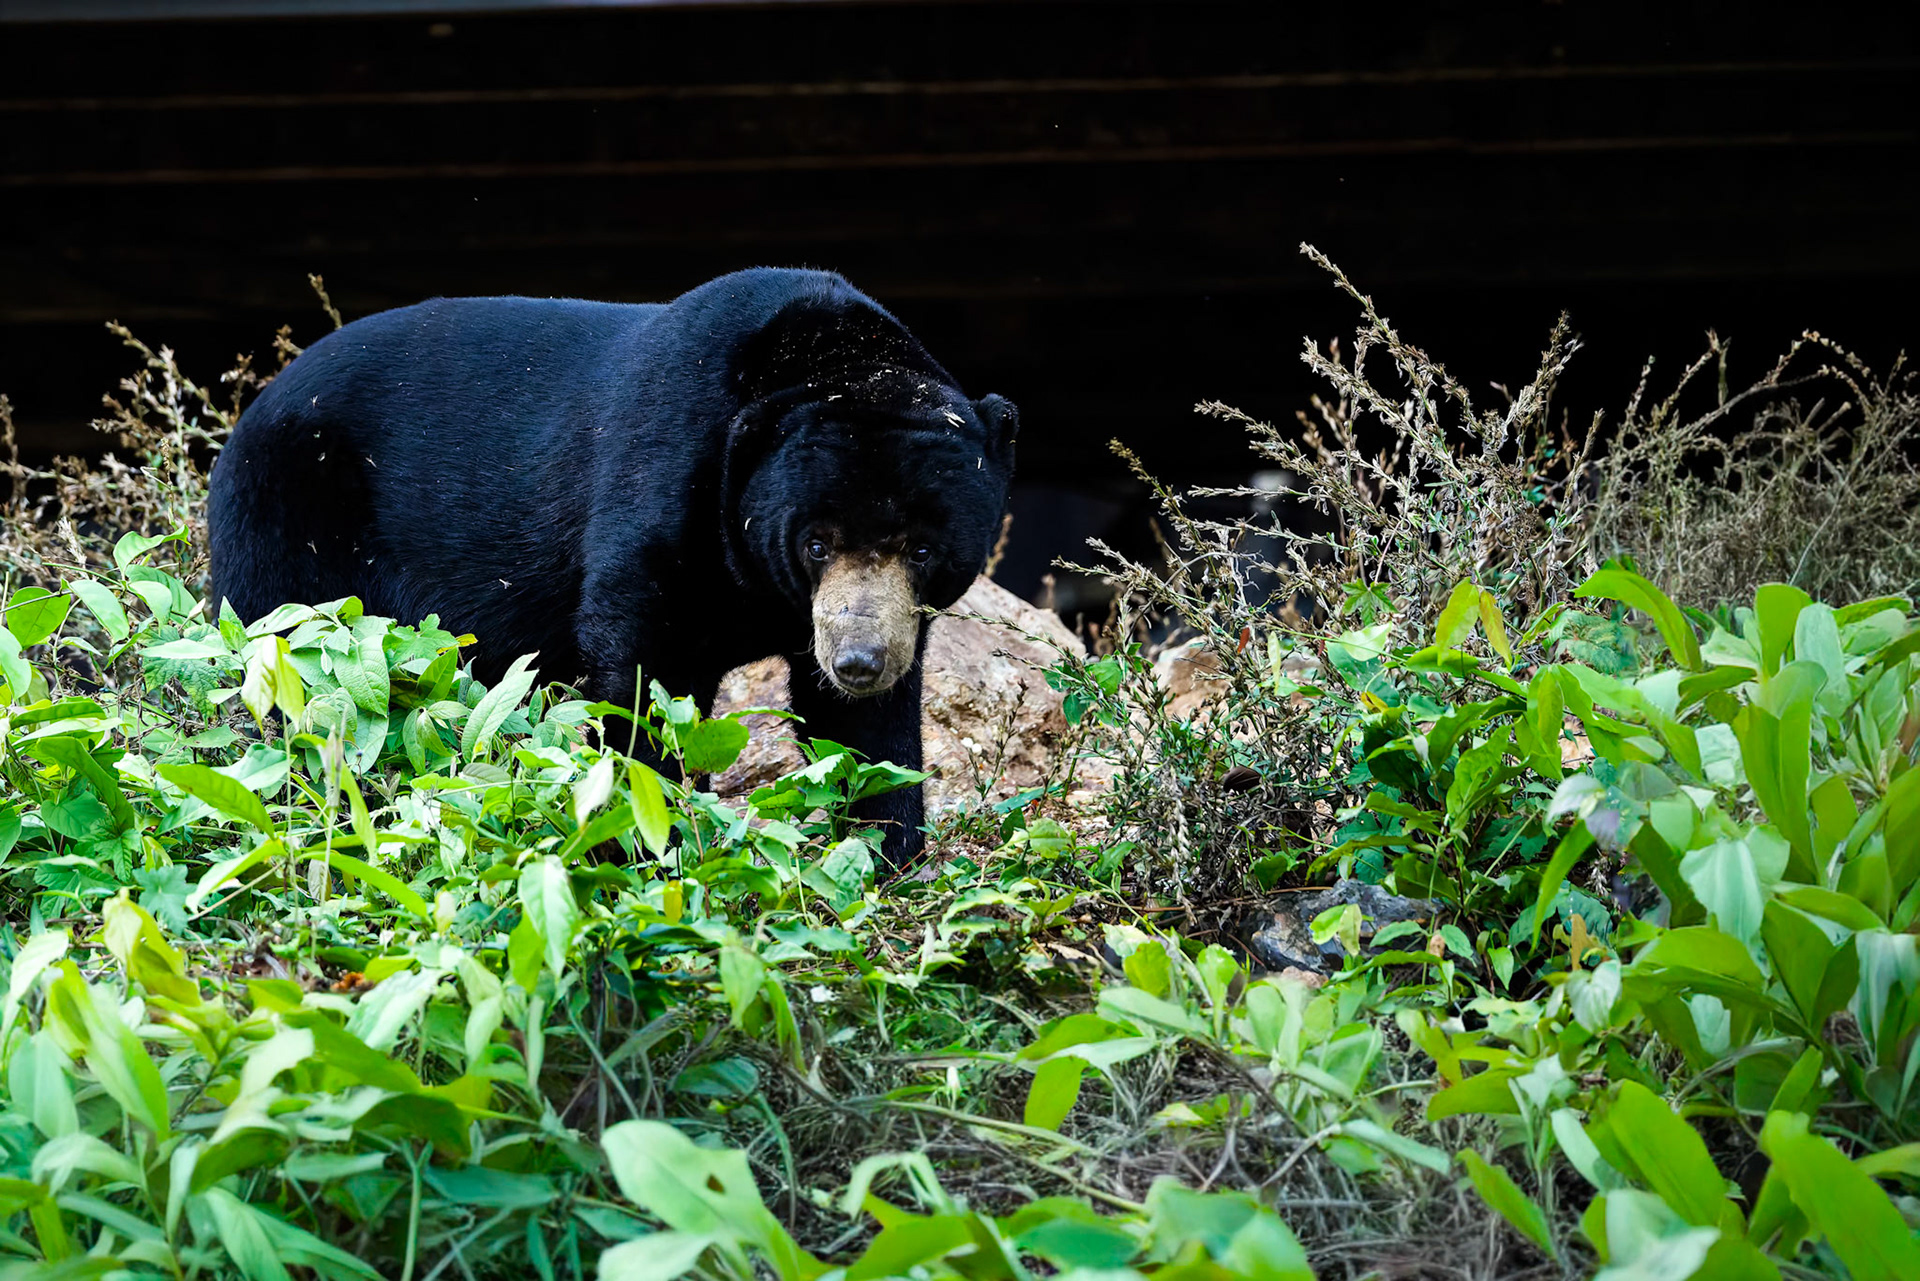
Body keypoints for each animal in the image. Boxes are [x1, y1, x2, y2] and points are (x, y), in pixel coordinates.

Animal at [208, 267, 1018, 865]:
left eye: (923, 549)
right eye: (816, 542)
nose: (858, 659)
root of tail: (256, 405)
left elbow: (866, 729)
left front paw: (889, 848)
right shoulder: (665, 478)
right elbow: (639, 662)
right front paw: (642, 830)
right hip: (291, 511)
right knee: (284, 651)